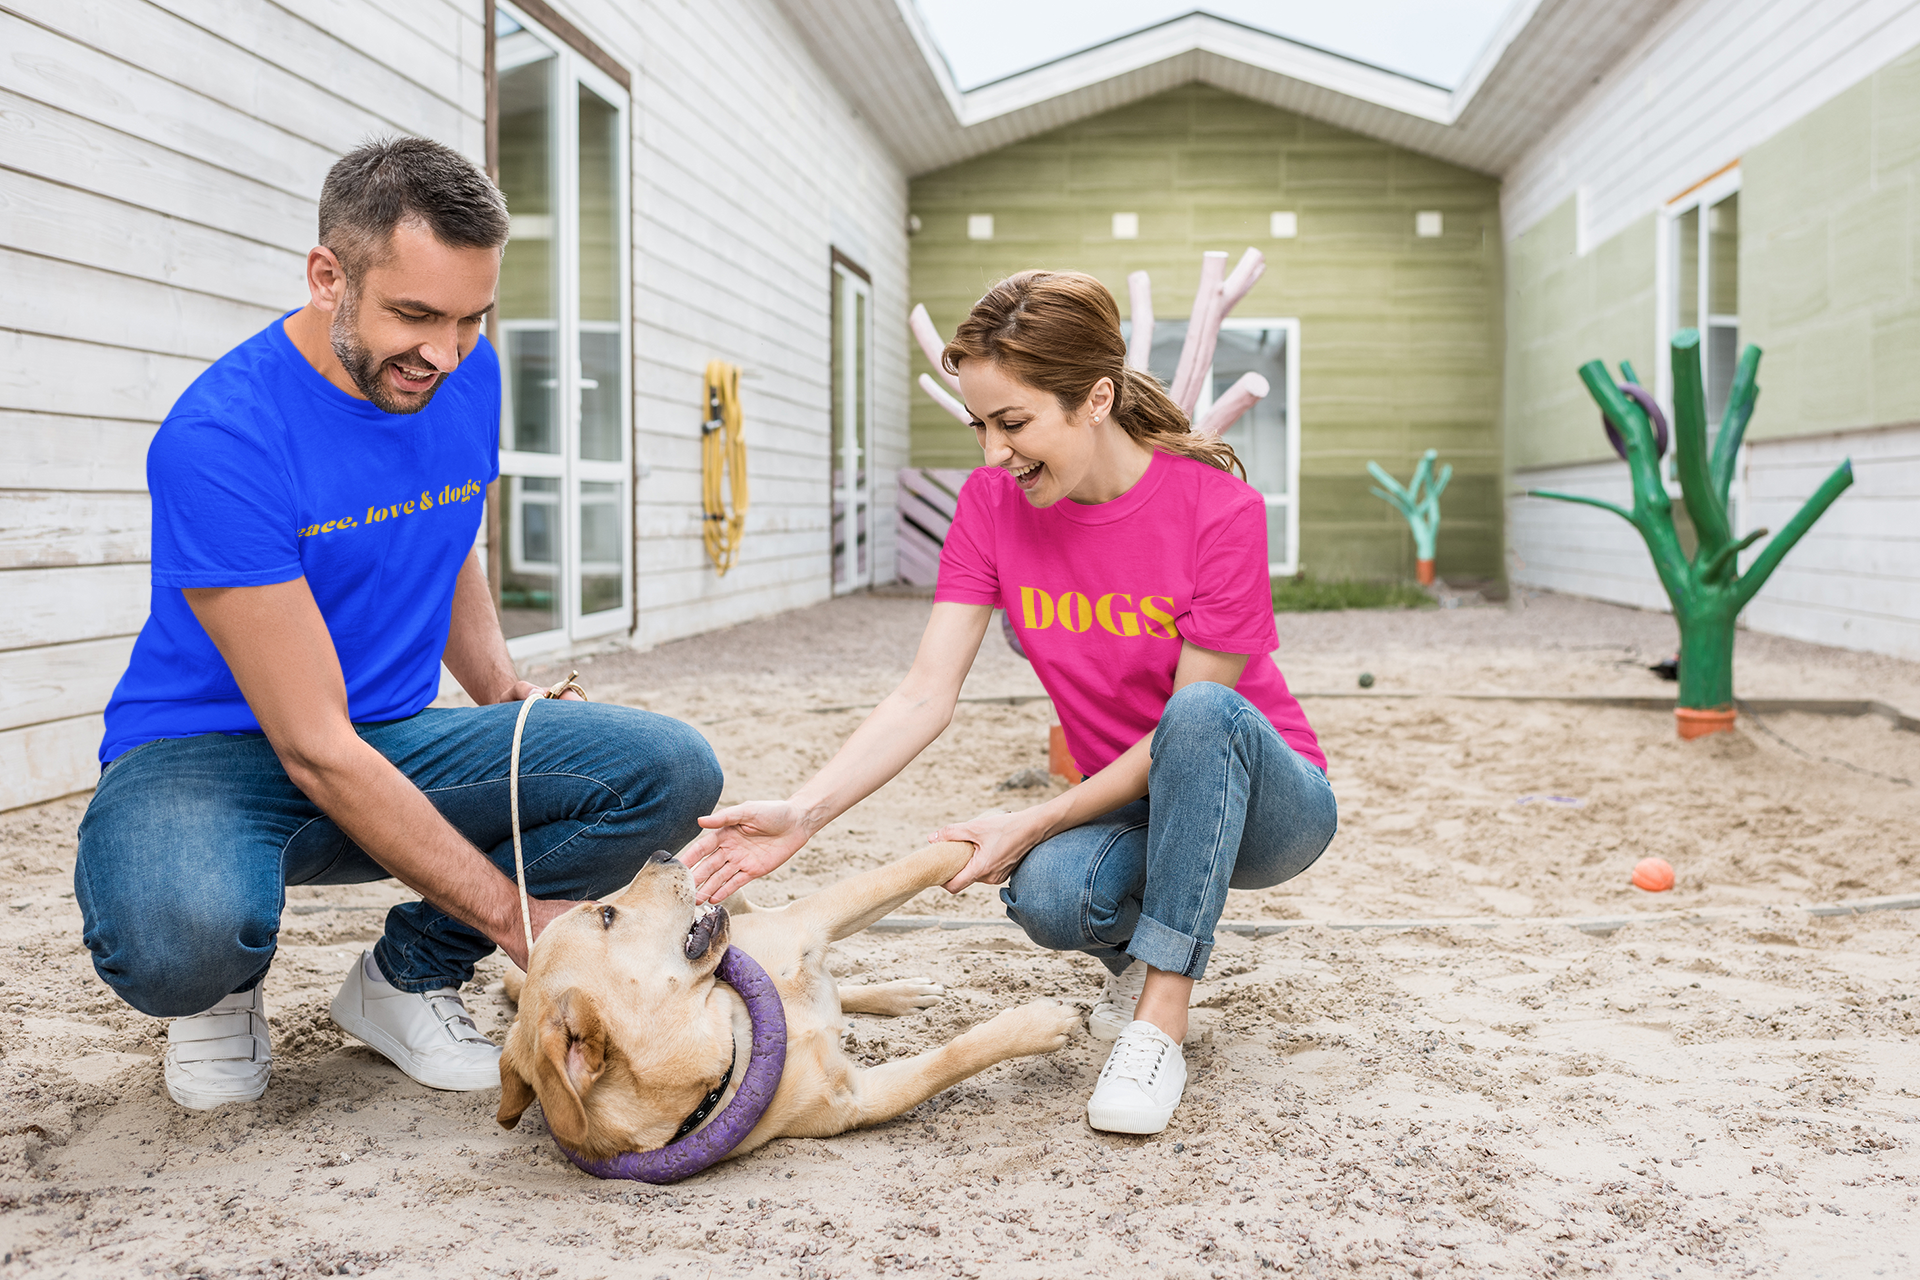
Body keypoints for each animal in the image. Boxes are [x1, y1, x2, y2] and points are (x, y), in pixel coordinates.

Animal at [496, 840, 1080, 1165]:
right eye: (607, 915)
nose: (662, 854)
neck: (736, 1038)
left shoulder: (808, 917)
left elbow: (926, 861)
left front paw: (998, 828)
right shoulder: (858, 1099)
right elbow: (949, 1059)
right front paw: (1038, 1022)